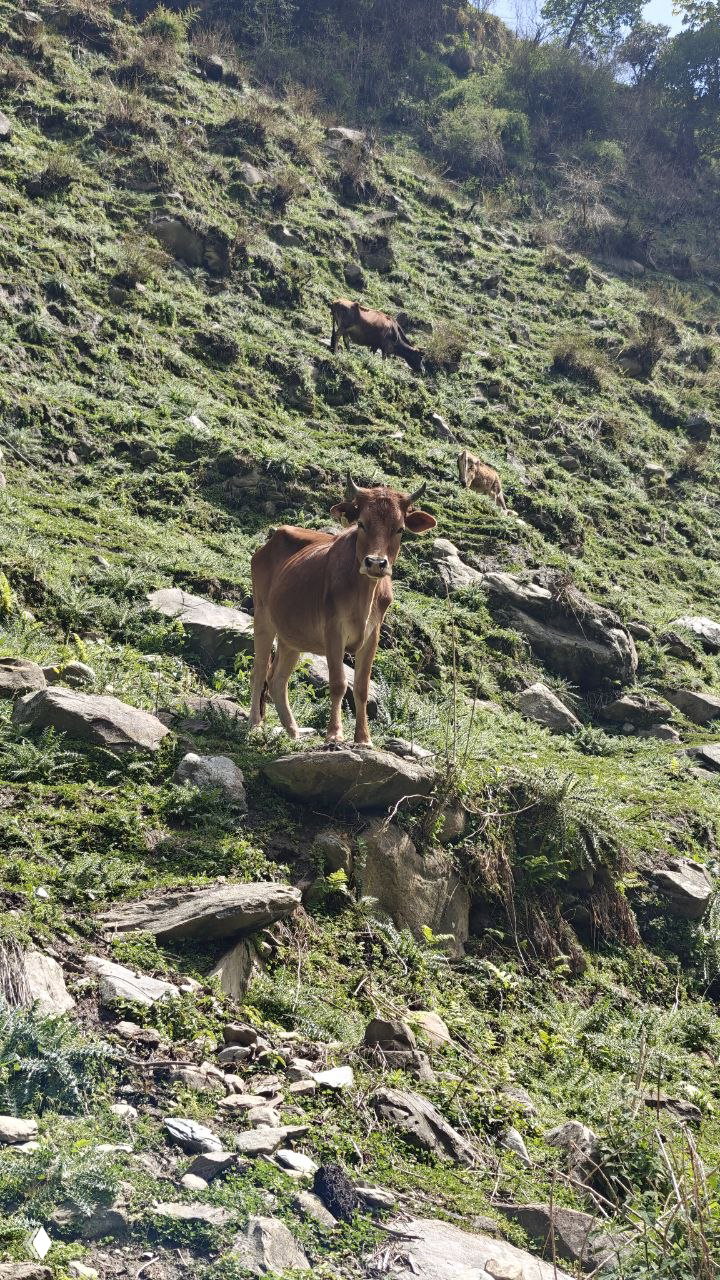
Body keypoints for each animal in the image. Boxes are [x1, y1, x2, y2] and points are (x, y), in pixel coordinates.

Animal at [250, 475, 436, 747]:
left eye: (400, 529)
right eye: (361, 523)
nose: (376, 563)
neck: (364, 596)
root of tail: (270, 542)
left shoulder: (372, 635)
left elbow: (361, 687)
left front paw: (363, 738)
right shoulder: (333, 630)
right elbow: (338, 683)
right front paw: (334, 734)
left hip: (291, 636)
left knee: (277, 680)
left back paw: (293, 731)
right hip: (262, 617)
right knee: (259, 670)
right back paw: (255, 724)